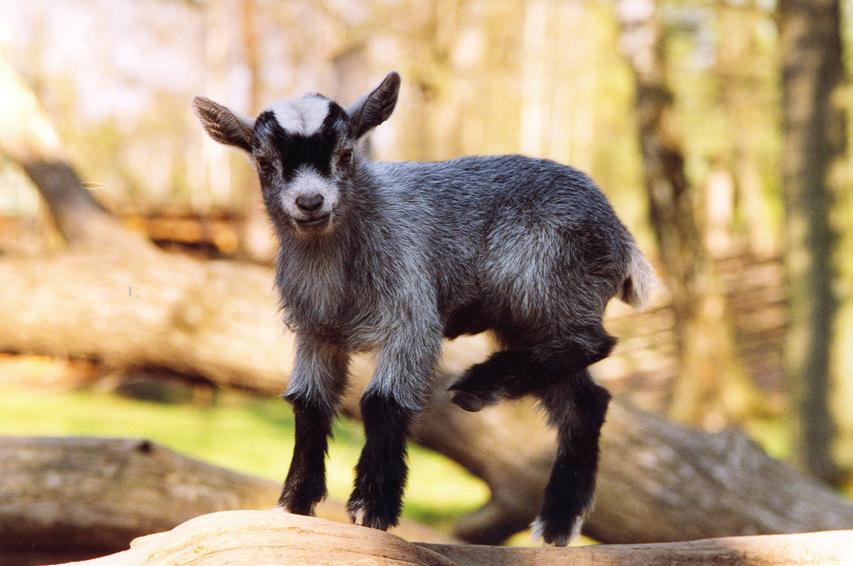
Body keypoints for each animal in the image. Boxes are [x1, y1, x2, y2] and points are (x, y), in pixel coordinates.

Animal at [193, 70, 652, 544]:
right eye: (264, 162)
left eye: (345, 154)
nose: (310, 202)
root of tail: (622, 237)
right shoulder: (317, 334)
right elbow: (309, 406)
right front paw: (293, 504)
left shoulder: (411, 317)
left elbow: (382, 402)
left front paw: (372, 508)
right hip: (526, 316)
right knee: (586, 402)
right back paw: (558, 522)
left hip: (542, 280)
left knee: (595, 342)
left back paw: (480, 385)